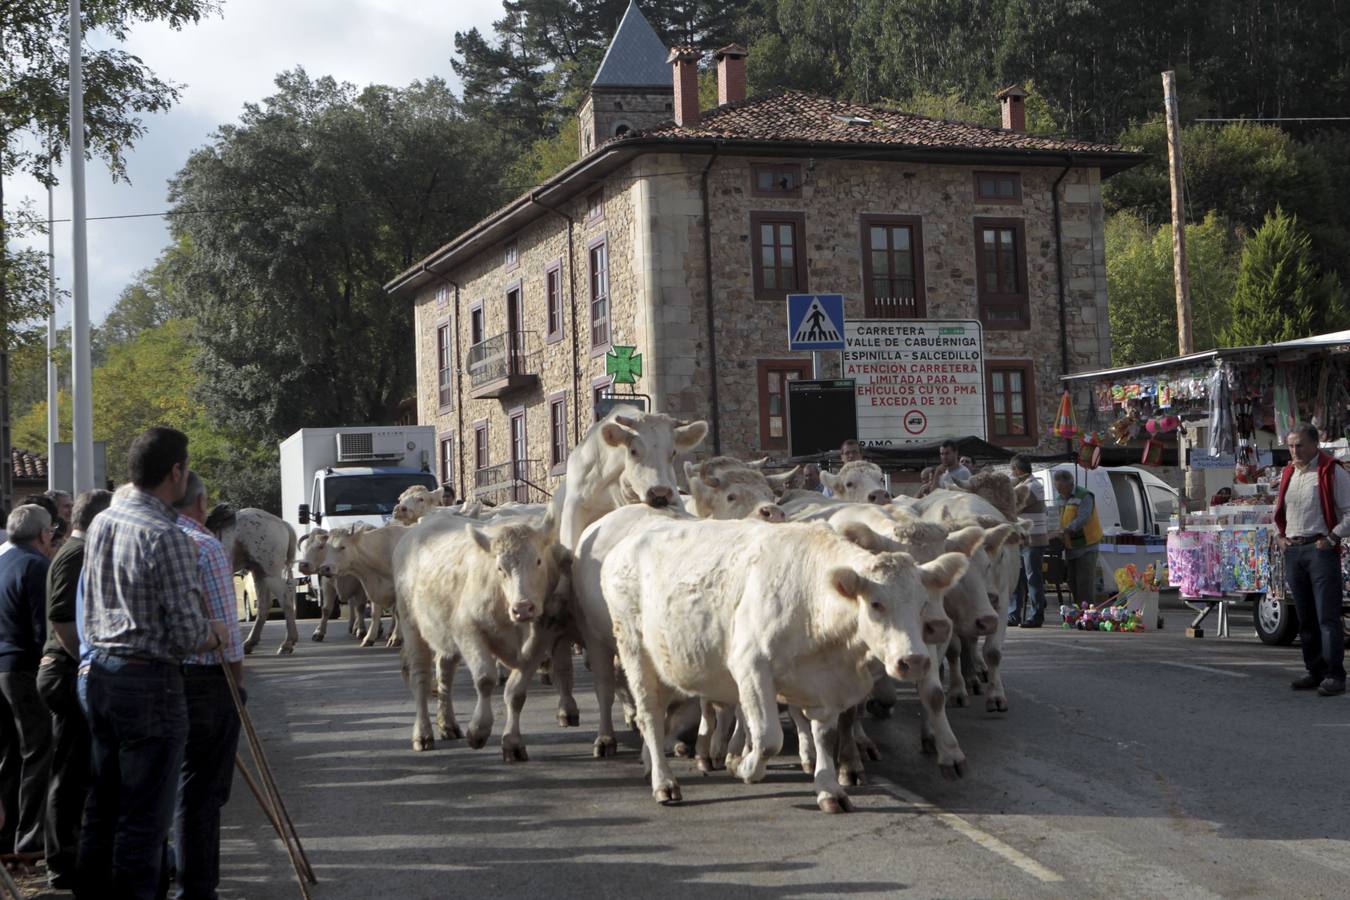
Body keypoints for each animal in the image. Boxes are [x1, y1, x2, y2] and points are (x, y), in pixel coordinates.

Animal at [205, 507, 295, 655]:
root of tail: (281, 523)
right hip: (259, 573)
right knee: (264, 605)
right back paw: (250, 642)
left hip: (270, 573)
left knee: (285, 599)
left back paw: (287, 643)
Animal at [396, 510, 572, 755]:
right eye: (500, 568)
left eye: (538, 560)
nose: (523, 608)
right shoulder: (468, 631)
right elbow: (485, 679)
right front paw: (478, 730)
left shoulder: (540, 640)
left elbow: (516, 693)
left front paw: (512, 742)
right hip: (411, 626)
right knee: (421, 677)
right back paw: (423, 733)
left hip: (445, 638)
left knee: (445, 673)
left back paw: (448, 724)